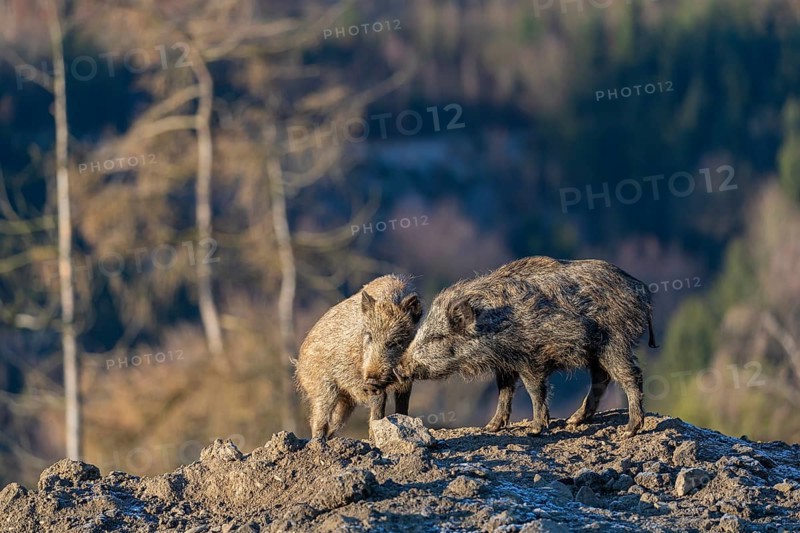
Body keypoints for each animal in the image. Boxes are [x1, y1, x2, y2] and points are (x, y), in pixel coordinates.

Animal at [295, 275, 423, 439]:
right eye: (369, 336)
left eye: (395, 342)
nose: (371, 379)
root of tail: (299, 364)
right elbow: (378, 403)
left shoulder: (406, 382)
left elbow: (402, 405)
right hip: (321, 386)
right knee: (319, 417)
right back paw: (318, 440)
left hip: (346, 401)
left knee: (335, 422)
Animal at [399, 257, 656, 437]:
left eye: (437, 337)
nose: (399, 366)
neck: (493, 326)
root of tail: (642, 290)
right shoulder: (505, 365)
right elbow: (504, 392)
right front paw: (490, 428)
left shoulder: (531, 358)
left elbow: (535, 390)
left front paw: (535, 430)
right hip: (596, 353)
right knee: (602, 379)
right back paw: (573, 421)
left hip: (614, 342)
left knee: (631, 376)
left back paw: (628, 431)